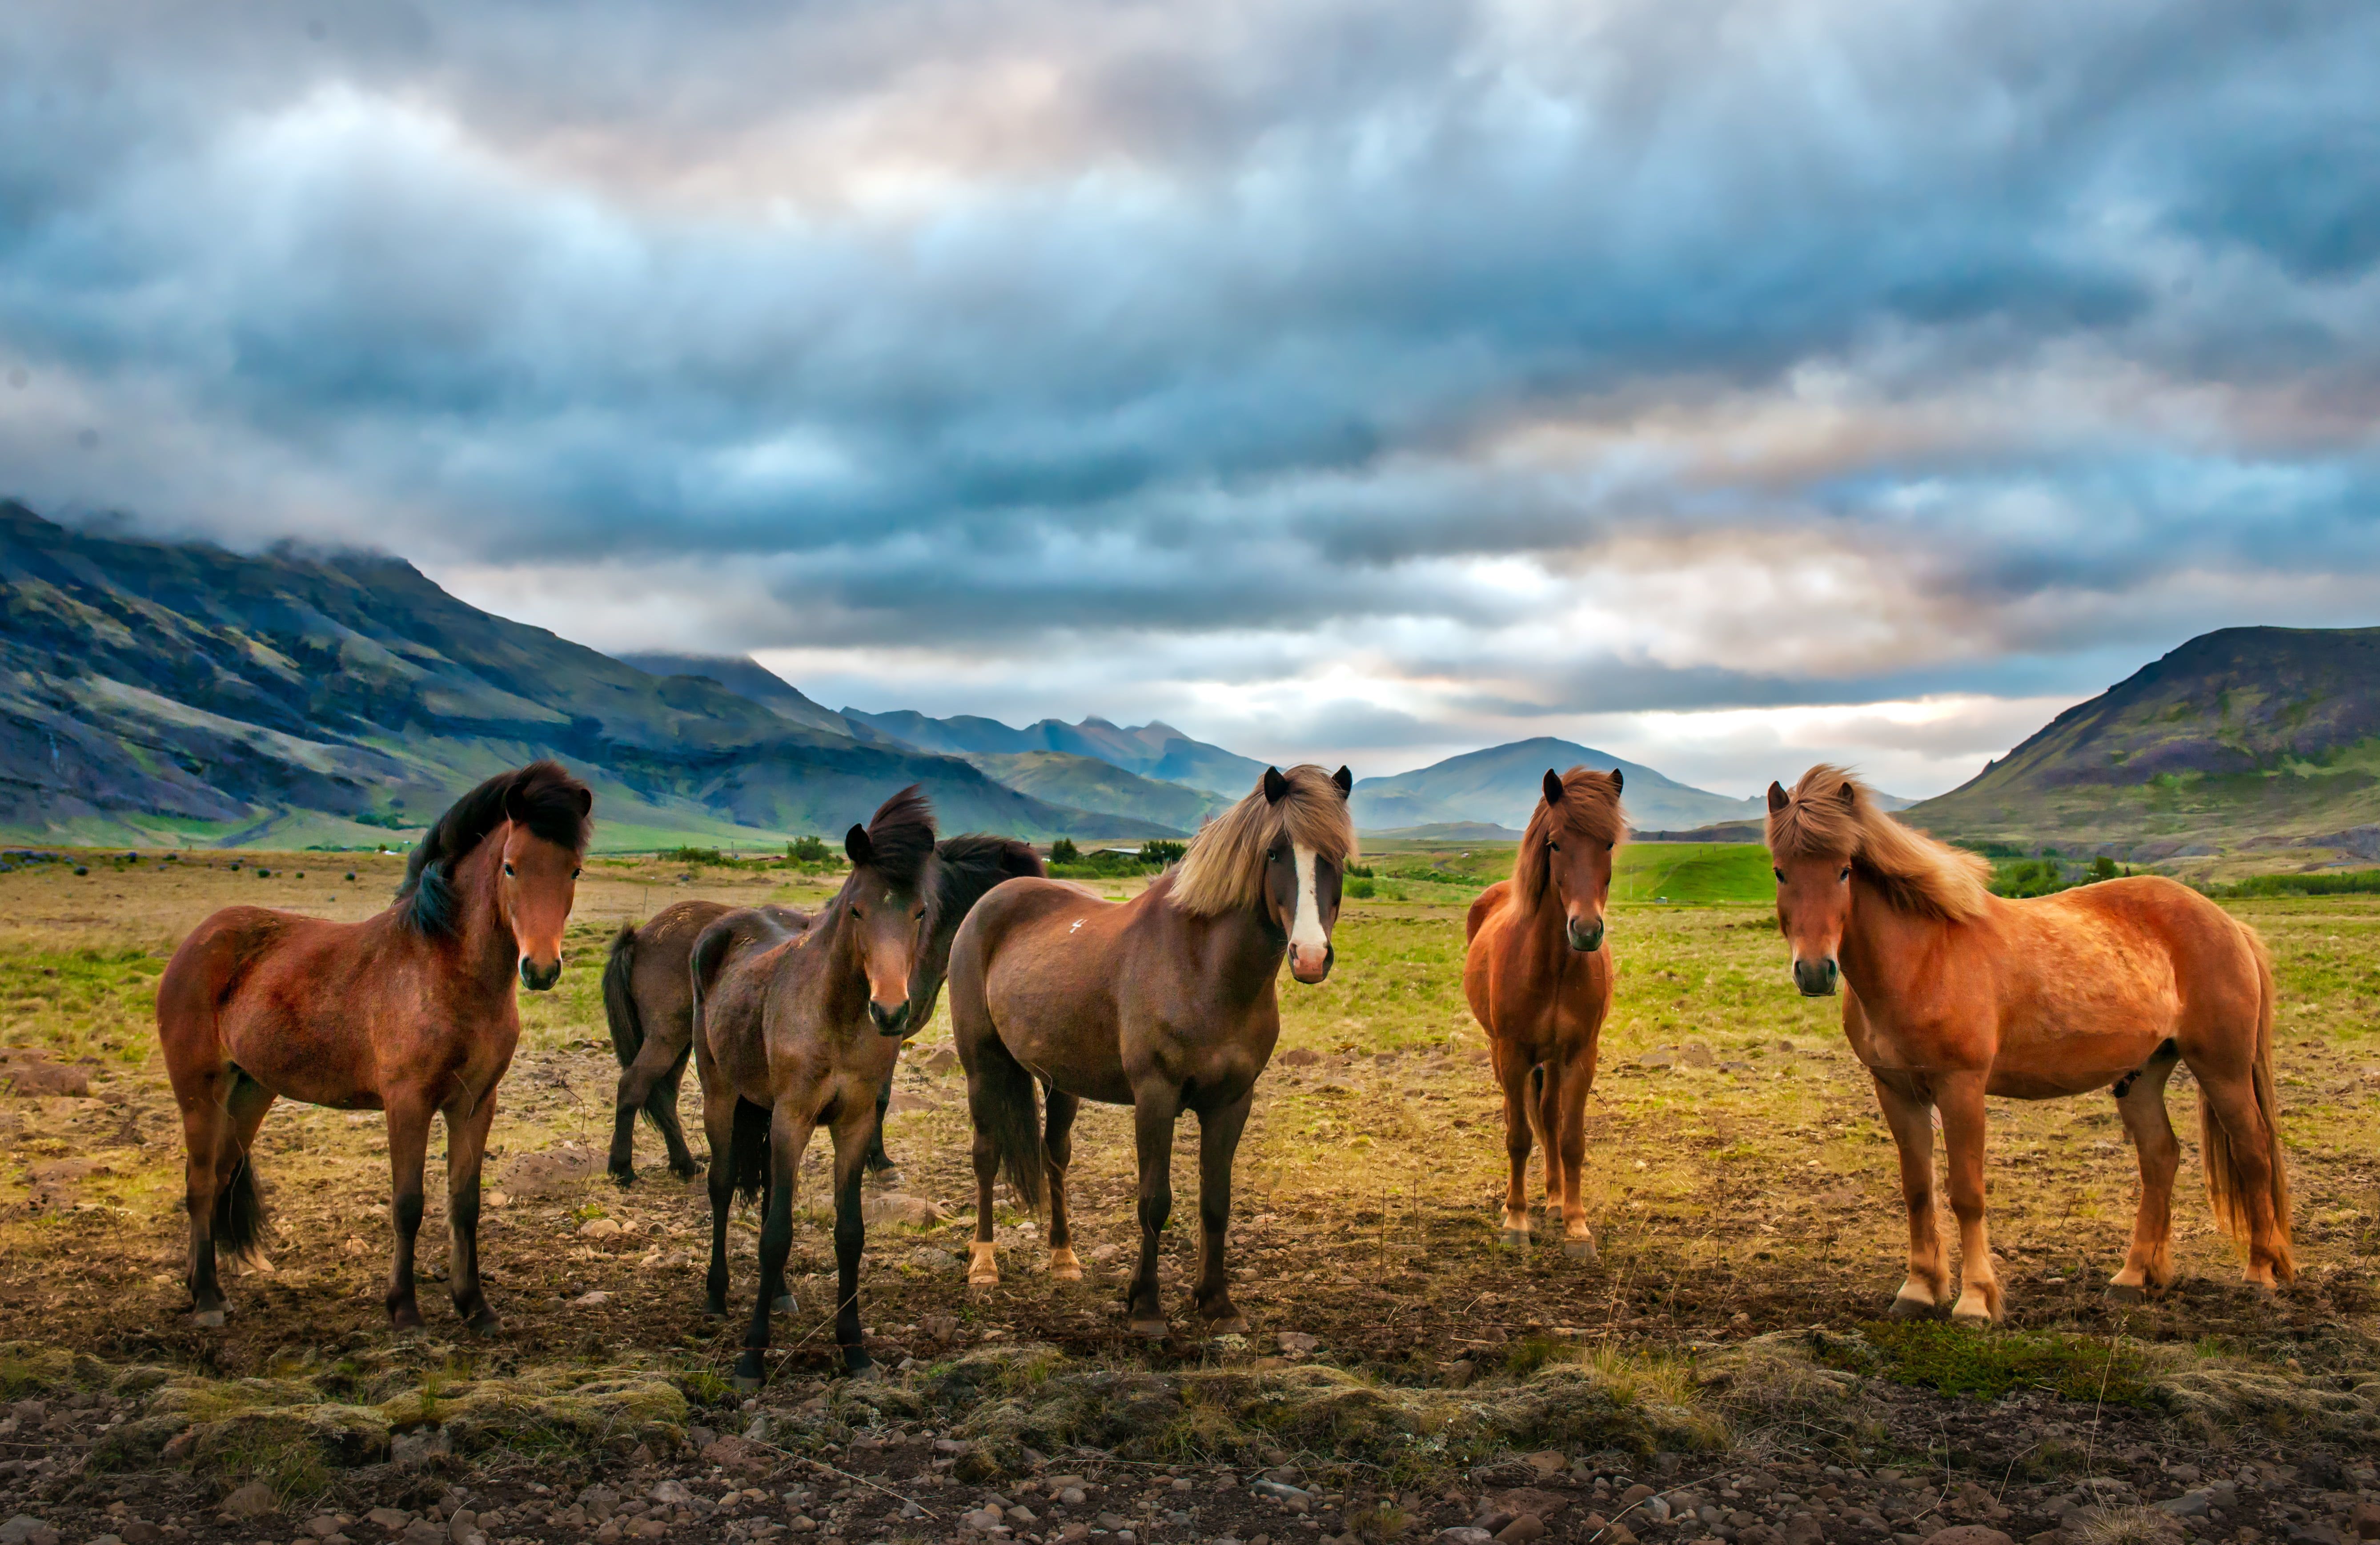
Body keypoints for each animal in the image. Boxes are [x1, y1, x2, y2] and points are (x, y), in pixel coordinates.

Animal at [156, 757, 592, 1324]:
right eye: (511, 867)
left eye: (574, 870)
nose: (540, 969)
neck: (445, 969)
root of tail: (196, 942)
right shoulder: (407, 1103)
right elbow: (408, 1205)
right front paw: (404, 1307)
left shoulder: (476, 1104)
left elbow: (464, 1204)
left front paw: (475, 1306)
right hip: (199, 1090)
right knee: (201, 1183)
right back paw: (207, 1298)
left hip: (249, 1090)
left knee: (219, 1175)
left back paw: (201, 1286)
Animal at [595, 833, 1042, 1181]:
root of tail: (644, 935)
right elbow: (880, 1099)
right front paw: (879, 1162)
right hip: (668, 1035)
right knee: (633, 1085)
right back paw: (622, 1169)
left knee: (663, 1095)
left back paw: (684, 1164)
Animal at [947, 761, 1361, 1333]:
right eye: (1275, 852)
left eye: (1336, 855)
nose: (1310, 956)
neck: (1204, 967)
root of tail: (989, 904)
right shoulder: (1155, 1097)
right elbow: (1154, 1201)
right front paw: (1144, 1306)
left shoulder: (1232, 1101)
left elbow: (1215, 1202)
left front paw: (1216, 1303)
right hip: (982, 1067)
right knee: (985, 1156)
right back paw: (983, 1264)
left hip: (1060, 1081)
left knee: (1055, 1155)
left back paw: (1063, 1258)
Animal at [1457, 766, 1628, 1257]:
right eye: (1554, 843)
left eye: (1608, 843)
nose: (1586, 931)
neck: (1552, 966)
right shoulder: (1513, 1053)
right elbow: (1518, 1137)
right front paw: (1516, 1223)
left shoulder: (1580, 1055)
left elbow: (1571, 1139)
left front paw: (1576, 1225)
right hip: (1500, 1051)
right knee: (1519, 1115)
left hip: (1551, 1059)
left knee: (1550, 1116)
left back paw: (1554, 1201)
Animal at [1770, 766, 2284, 1324]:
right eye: (1780, 872)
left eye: (1844, 871)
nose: (1815, 971)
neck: (1922, 958)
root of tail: (2228, 924)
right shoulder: (1896, 1090)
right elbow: (1917, 1190)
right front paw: (1919, 1289)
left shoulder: (1961, 1087)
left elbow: (1966, 1193)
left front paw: (1975, 1300)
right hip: (2142, 1074)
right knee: (2160, 1158)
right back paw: (2132, 1277)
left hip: (2221, 1068)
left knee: (2253, 1149)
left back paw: (2259, 1273)